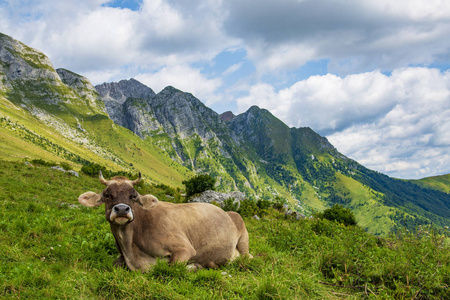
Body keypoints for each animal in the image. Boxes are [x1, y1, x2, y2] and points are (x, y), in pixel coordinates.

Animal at [79, 171, 251, 272]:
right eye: (107, 195)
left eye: (133, 195)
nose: (121, 209)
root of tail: (227, 211)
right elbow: (114, 263)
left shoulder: (185, 249)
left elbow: (172, 267)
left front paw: (195, 266)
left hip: (243, 239)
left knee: (247, 257)